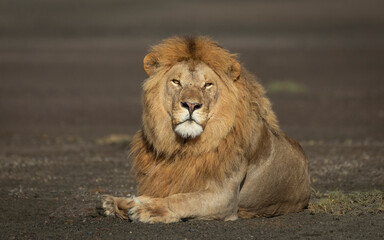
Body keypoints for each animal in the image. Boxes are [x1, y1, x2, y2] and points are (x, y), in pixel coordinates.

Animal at [103, 35, 312, 223]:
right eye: (176, 81)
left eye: (208, 84)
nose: (191, 105)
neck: (185, 146)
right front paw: (116, 202)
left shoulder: (224, 197)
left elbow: (183, 199)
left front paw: (148, 209)